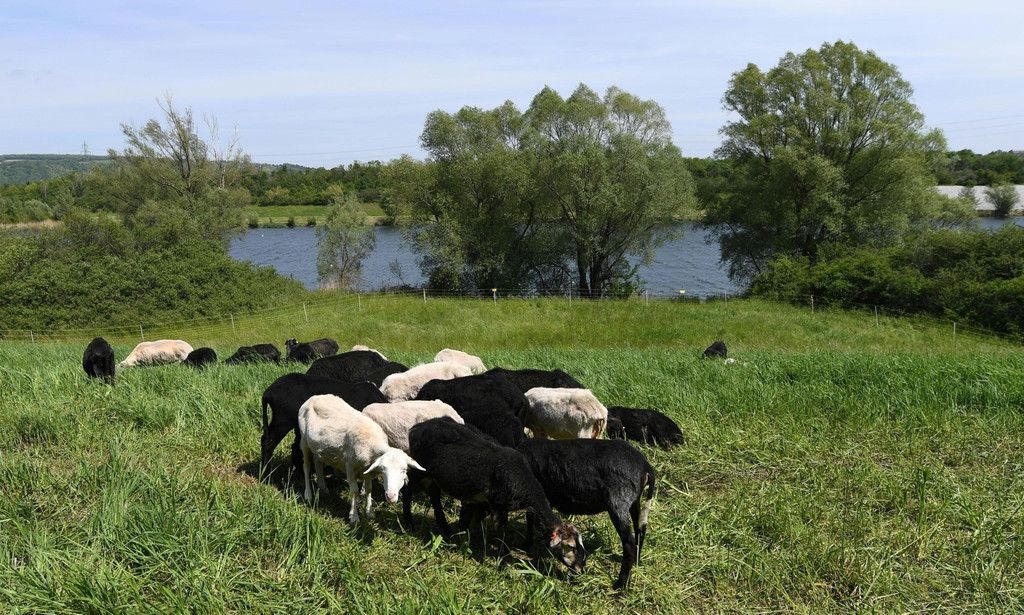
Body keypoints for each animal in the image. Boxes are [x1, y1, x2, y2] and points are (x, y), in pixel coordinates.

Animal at [299, 394, 424, 524]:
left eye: (403, 470)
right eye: (383, 470)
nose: (390, 497)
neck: (372, 442)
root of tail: (316, 397)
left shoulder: (367, 469)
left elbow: (369, 489)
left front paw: (369, 512)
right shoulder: (350, 466)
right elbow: (354, 491)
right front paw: (354, 516)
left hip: (318, 447)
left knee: (317, 462)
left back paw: (323, 489)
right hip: (304, 441)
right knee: (306, 467)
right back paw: (308, 494)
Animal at [407, 418, 586, 573]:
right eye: (571, 547)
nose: (581, 569)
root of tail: (416, 428)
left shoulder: (482, 501)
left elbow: (471, 518)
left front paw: (466, 538)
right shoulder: (498, 505)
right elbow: (501, 533)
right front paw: (503, 563)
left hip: (434, 476)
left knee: (434, 494)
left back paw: (445, 527)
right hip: (420, 468)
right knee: (408, 489)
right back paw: (408, 523)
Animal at [518, 438, 656, 590]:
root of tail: (646, 467)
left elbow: (530, 517)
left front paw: (526, 546)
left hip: (618, 502)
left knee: (629, 544)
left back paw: (619, 585)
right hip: (634, 501)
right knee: (640, 529)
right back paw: (637, 561)